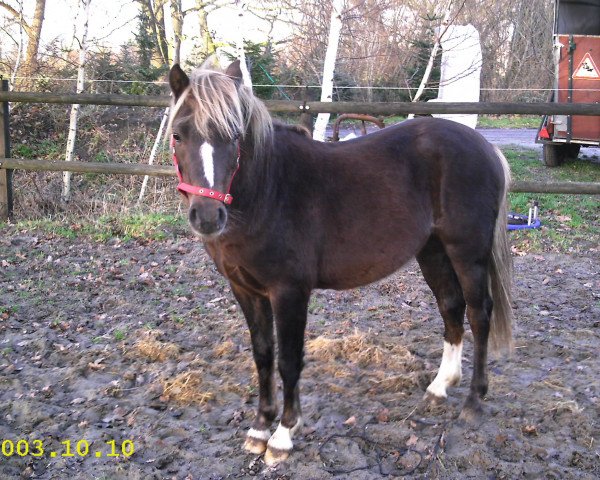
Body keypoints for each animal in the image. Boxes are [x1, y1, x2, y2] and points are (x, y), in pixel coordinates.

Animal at [168, 62, 510, 466]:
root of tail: (485, 146)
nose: (207, 217)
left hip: (467, 253)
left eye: (234, 136)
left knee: (479, 313)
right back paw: (440, 387)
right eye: (178, 135)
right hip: (433, 251)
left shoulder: (289, 292)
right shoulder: (246, 291)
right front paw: (259, 428)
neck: (269, 189)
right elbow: (263, 355)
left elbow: (289, 360)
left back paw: (474, 401)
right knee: (451, 307)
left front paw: (283, 435)